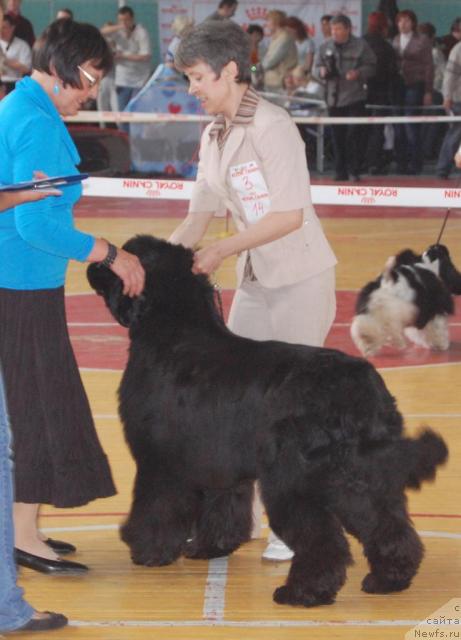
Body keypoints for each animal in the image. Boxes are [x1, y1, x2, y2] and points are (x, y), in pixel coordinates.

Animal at [86, 238, 446, 608]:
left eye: (124, 255)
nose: (94, 263)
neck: (172, 332)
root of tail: (359, 387)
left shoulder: (159, 460)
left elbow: (155, 507)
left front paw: (148, 550)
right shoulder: (219, 462)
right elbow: (223, 506)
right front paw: (211, 547)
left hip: (296, 480)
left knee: (325, 540)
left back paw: (302, 592)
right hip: (362, 477)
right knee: (387, 524)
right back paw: (389, 578)